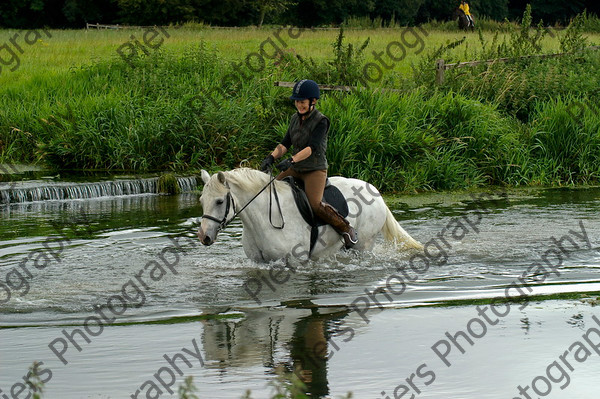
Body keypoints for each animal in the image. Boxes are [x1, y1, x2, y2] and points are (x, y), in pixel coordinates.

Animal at [198, 168, 422, 262]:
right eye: (201, 201)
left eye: (219, 201)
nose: (204, 237)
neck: (260, 220)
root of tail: (375, 192)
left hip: (363, 246)